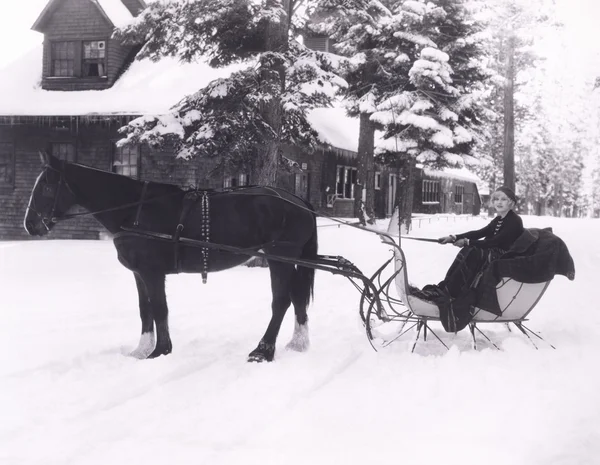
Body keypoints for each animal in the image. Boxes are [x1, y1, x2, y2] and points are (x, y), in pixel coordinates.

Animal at [22, 152, 318, 362]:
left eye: (46, 188)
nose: (30, 225)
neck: (135, 210)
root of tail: (299, 201)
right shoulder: (139, 273)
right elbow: (145, 310)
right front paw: (142, 350)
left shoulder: (153, 272)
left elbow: (160, 309)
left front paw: (160, 351)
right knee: (297, 298)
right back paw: (298, 343)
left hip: (280, 256)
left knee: (281, 301)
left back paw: (263, 350)